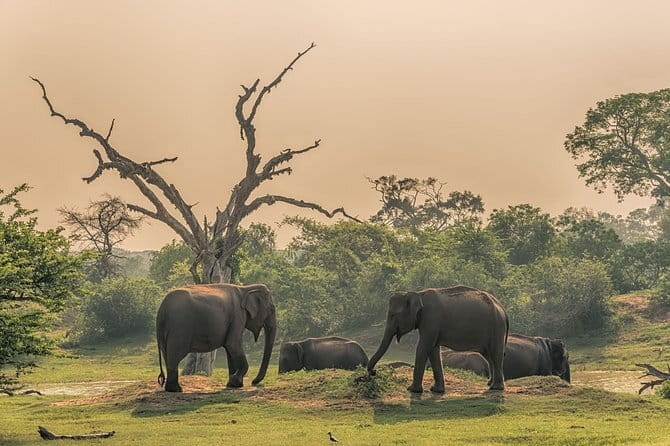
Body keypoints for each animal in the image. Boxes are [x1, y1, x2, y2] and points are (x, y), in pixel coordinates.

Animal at [368, 285, 509, 393]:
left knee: (495, 353)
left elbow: (423, 347)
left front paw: (412, 390)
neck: (418, 294)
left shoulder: (431, 319)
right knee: (489, 355)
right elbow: (433, 350)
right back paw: (490, 384)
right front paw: (436, 390)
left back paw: (496, 388)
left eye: (393, 315)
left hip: (496, 327)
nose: (374, 372)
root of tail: (502, 307)